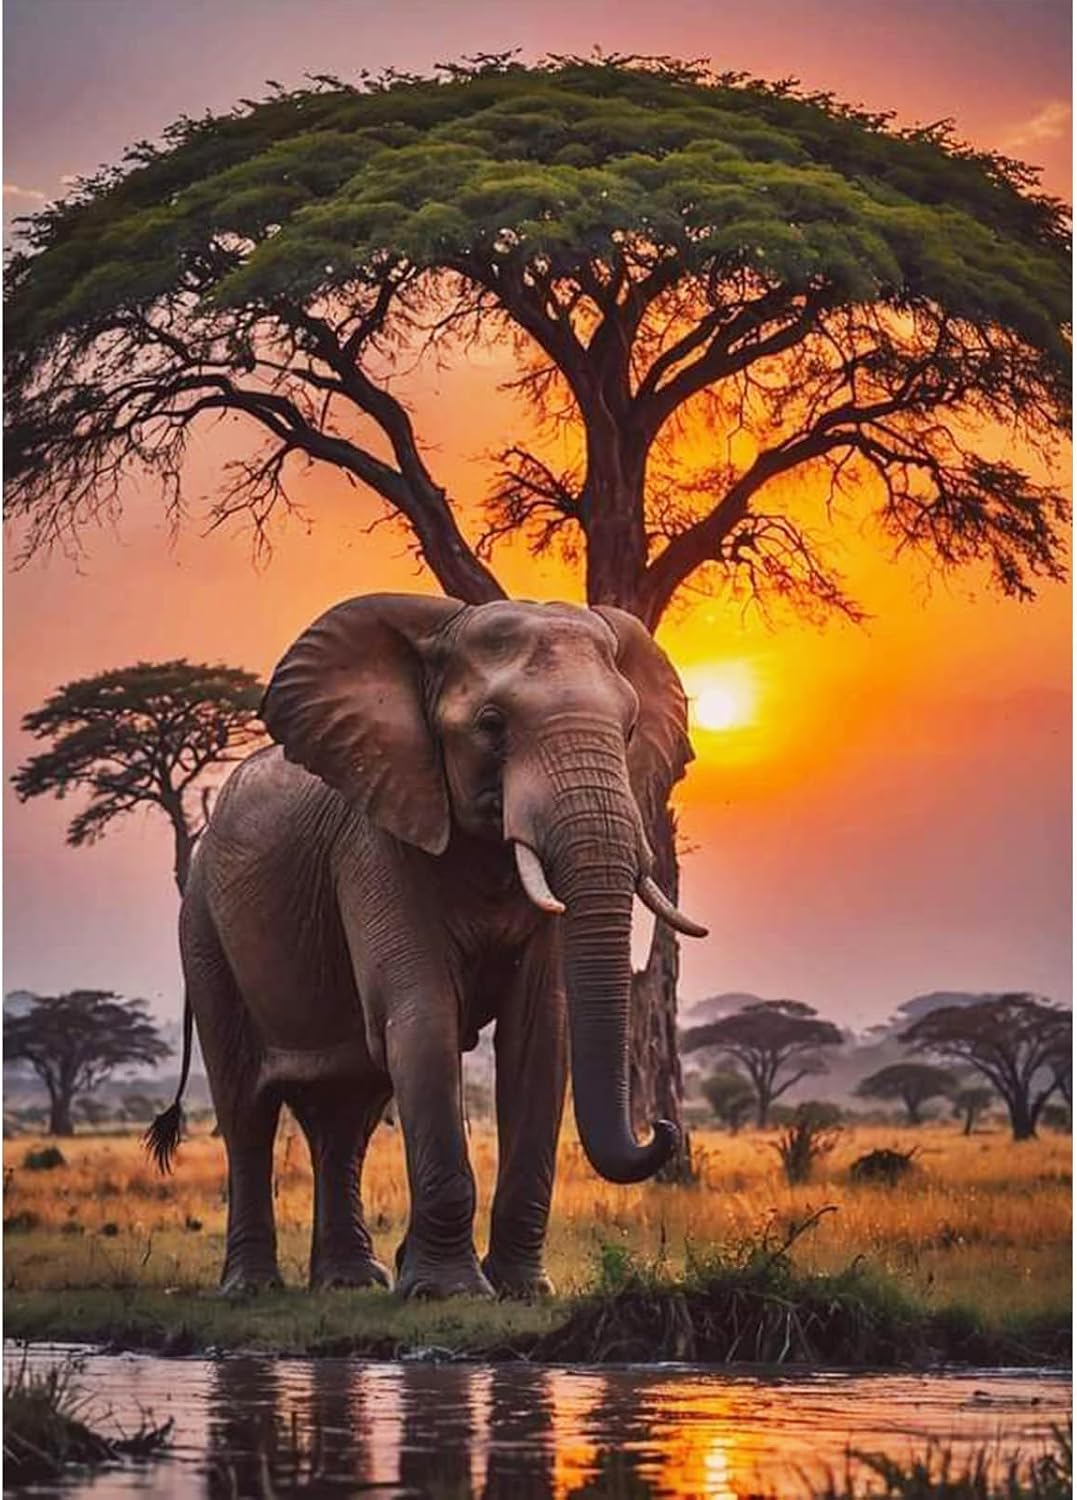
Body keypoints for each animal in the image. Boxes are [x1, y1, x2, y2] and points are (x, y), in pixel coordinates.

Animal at [149, 593, 706, 1299]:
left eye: (629, 727)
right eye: (492, 725)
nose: (661, 1128)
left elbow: (540, 1032)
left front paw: (521, 1292)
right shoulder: (373, 842)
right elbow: (422, 1016)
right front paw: (450, 1292)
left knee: (347, 1114)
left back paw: (351, 1283)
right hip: (202, 930)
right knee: (247, 1107)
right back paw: (254, 1289)